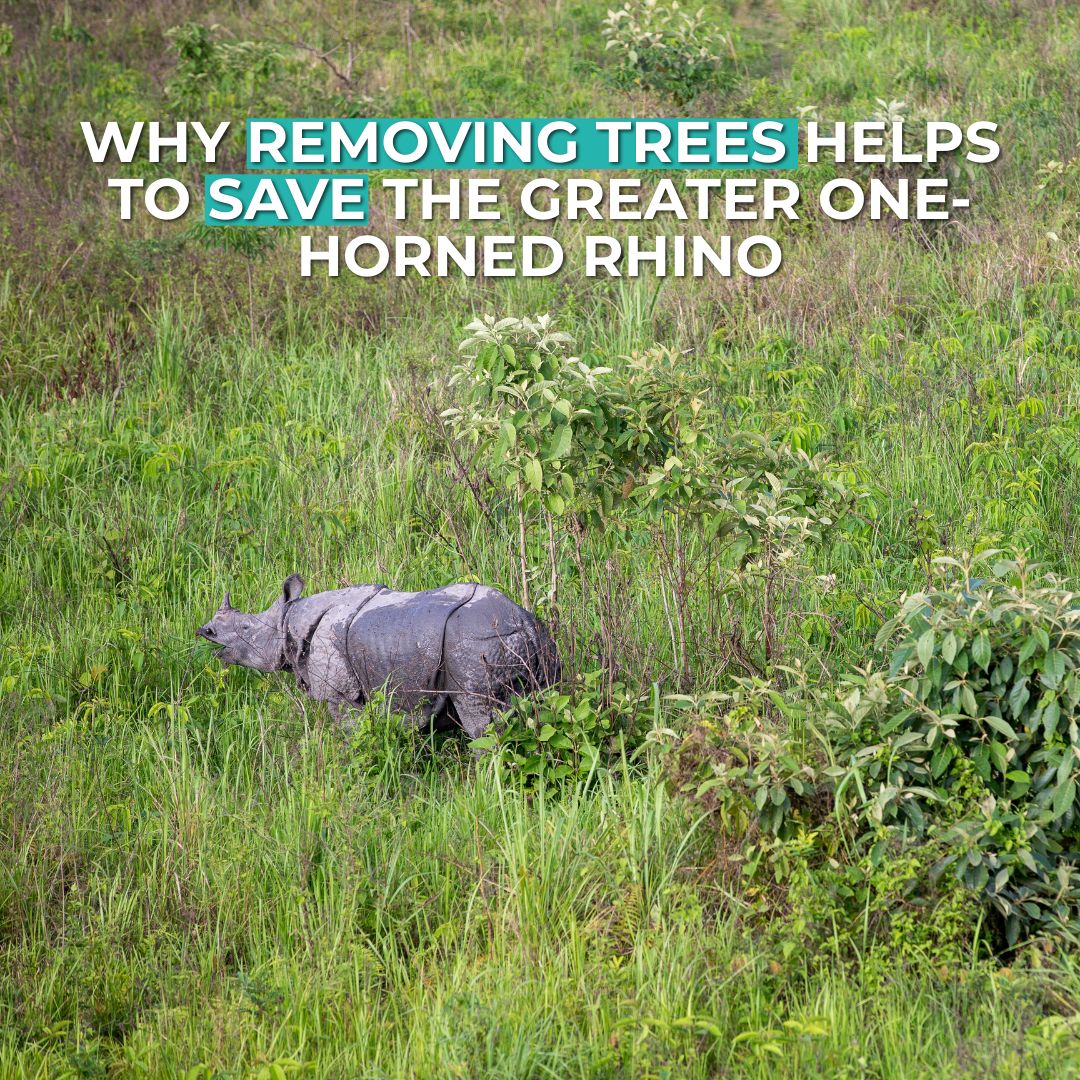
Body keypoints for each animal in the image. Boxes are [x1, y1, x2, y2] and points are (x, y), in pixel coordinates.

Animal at [196, 575, 559, 738]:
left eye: (247, 628)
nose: (205, 630)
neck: (290, 620)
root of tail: (523, 622)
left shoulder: (341, 693)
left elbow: (350, 734)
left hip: (476, 644)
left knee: (481, 722)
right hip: (535, 640)